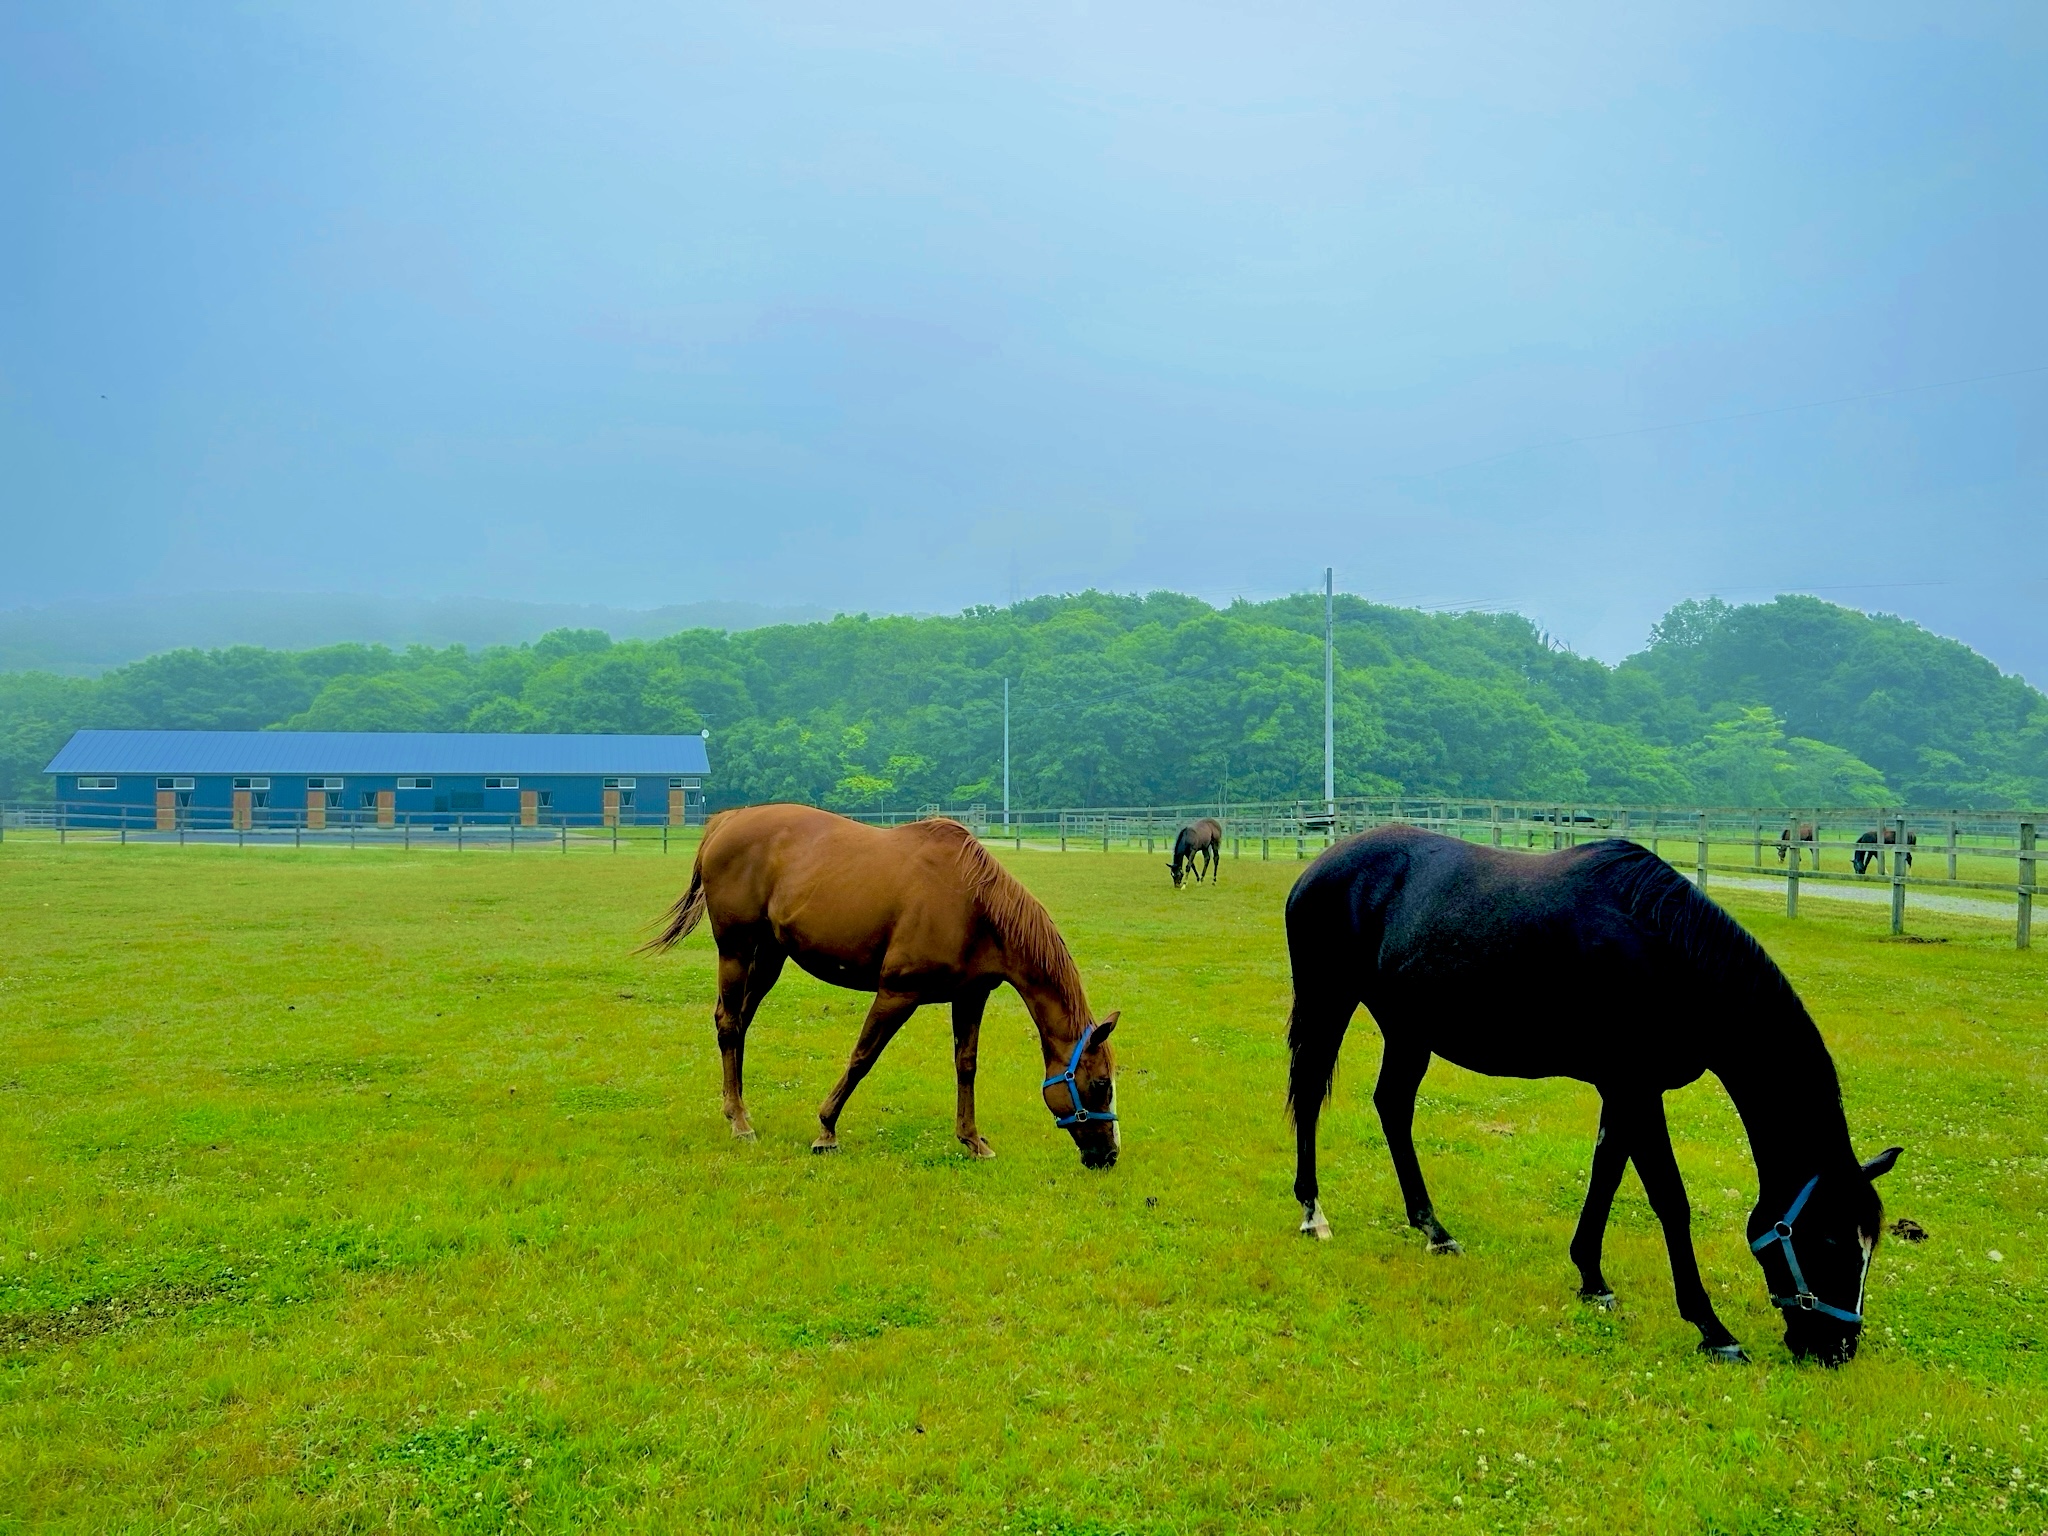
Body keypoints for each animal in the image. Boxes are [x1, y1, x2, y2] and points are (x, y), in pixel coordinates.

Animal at [645, 804, 1121, 1168]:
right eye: (1101, 1084)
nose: (1109, 1155)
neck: (975, 905)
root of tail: (727, 821)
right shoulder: (897, 993)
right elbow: (862, 1057)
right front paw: (826, 1129)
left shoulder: (970, 996)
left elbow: (965, 1065)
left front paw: (971, 1139)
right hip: (736, 951)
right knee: (728, 1023)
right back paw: (739, 1121)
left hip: (768, 958)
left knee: (739, 1024)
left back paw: (738, 1109)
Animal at [1284, 826, 1901, 1364]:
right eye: (1829, 1241)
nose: (1838, 1349)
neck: (1668, 953)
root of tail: (1318, 867)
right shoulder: (1636, 1088)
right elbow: (1670, 1201)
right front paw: (1712, 1329)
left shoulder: (1623, 1090)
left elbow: (1606, 1174)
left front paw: (1592, 1279)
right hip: (1328, 1001)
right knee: (1310, 1096)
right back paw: (1314, 1214)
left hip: (1408, 1032)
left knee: (1392, 1106)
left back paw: (1434, 1231)